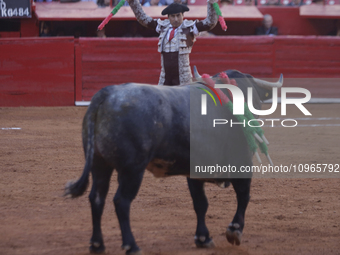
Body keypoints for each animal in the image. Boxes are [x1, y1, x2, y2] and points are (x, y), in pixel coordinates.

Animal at [65, 70, 282, 255]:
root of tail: (107, 94)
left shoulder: (194, 171)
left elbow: (200, 203)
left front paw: (203, 238)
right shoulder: (241, 162)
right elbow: (243, 196)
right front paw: (234, 230)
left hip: (99, 164)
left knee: (97, 198)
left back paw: (97, 244)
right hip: (132, 169)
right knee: (121, 201)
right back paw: (131, 246)